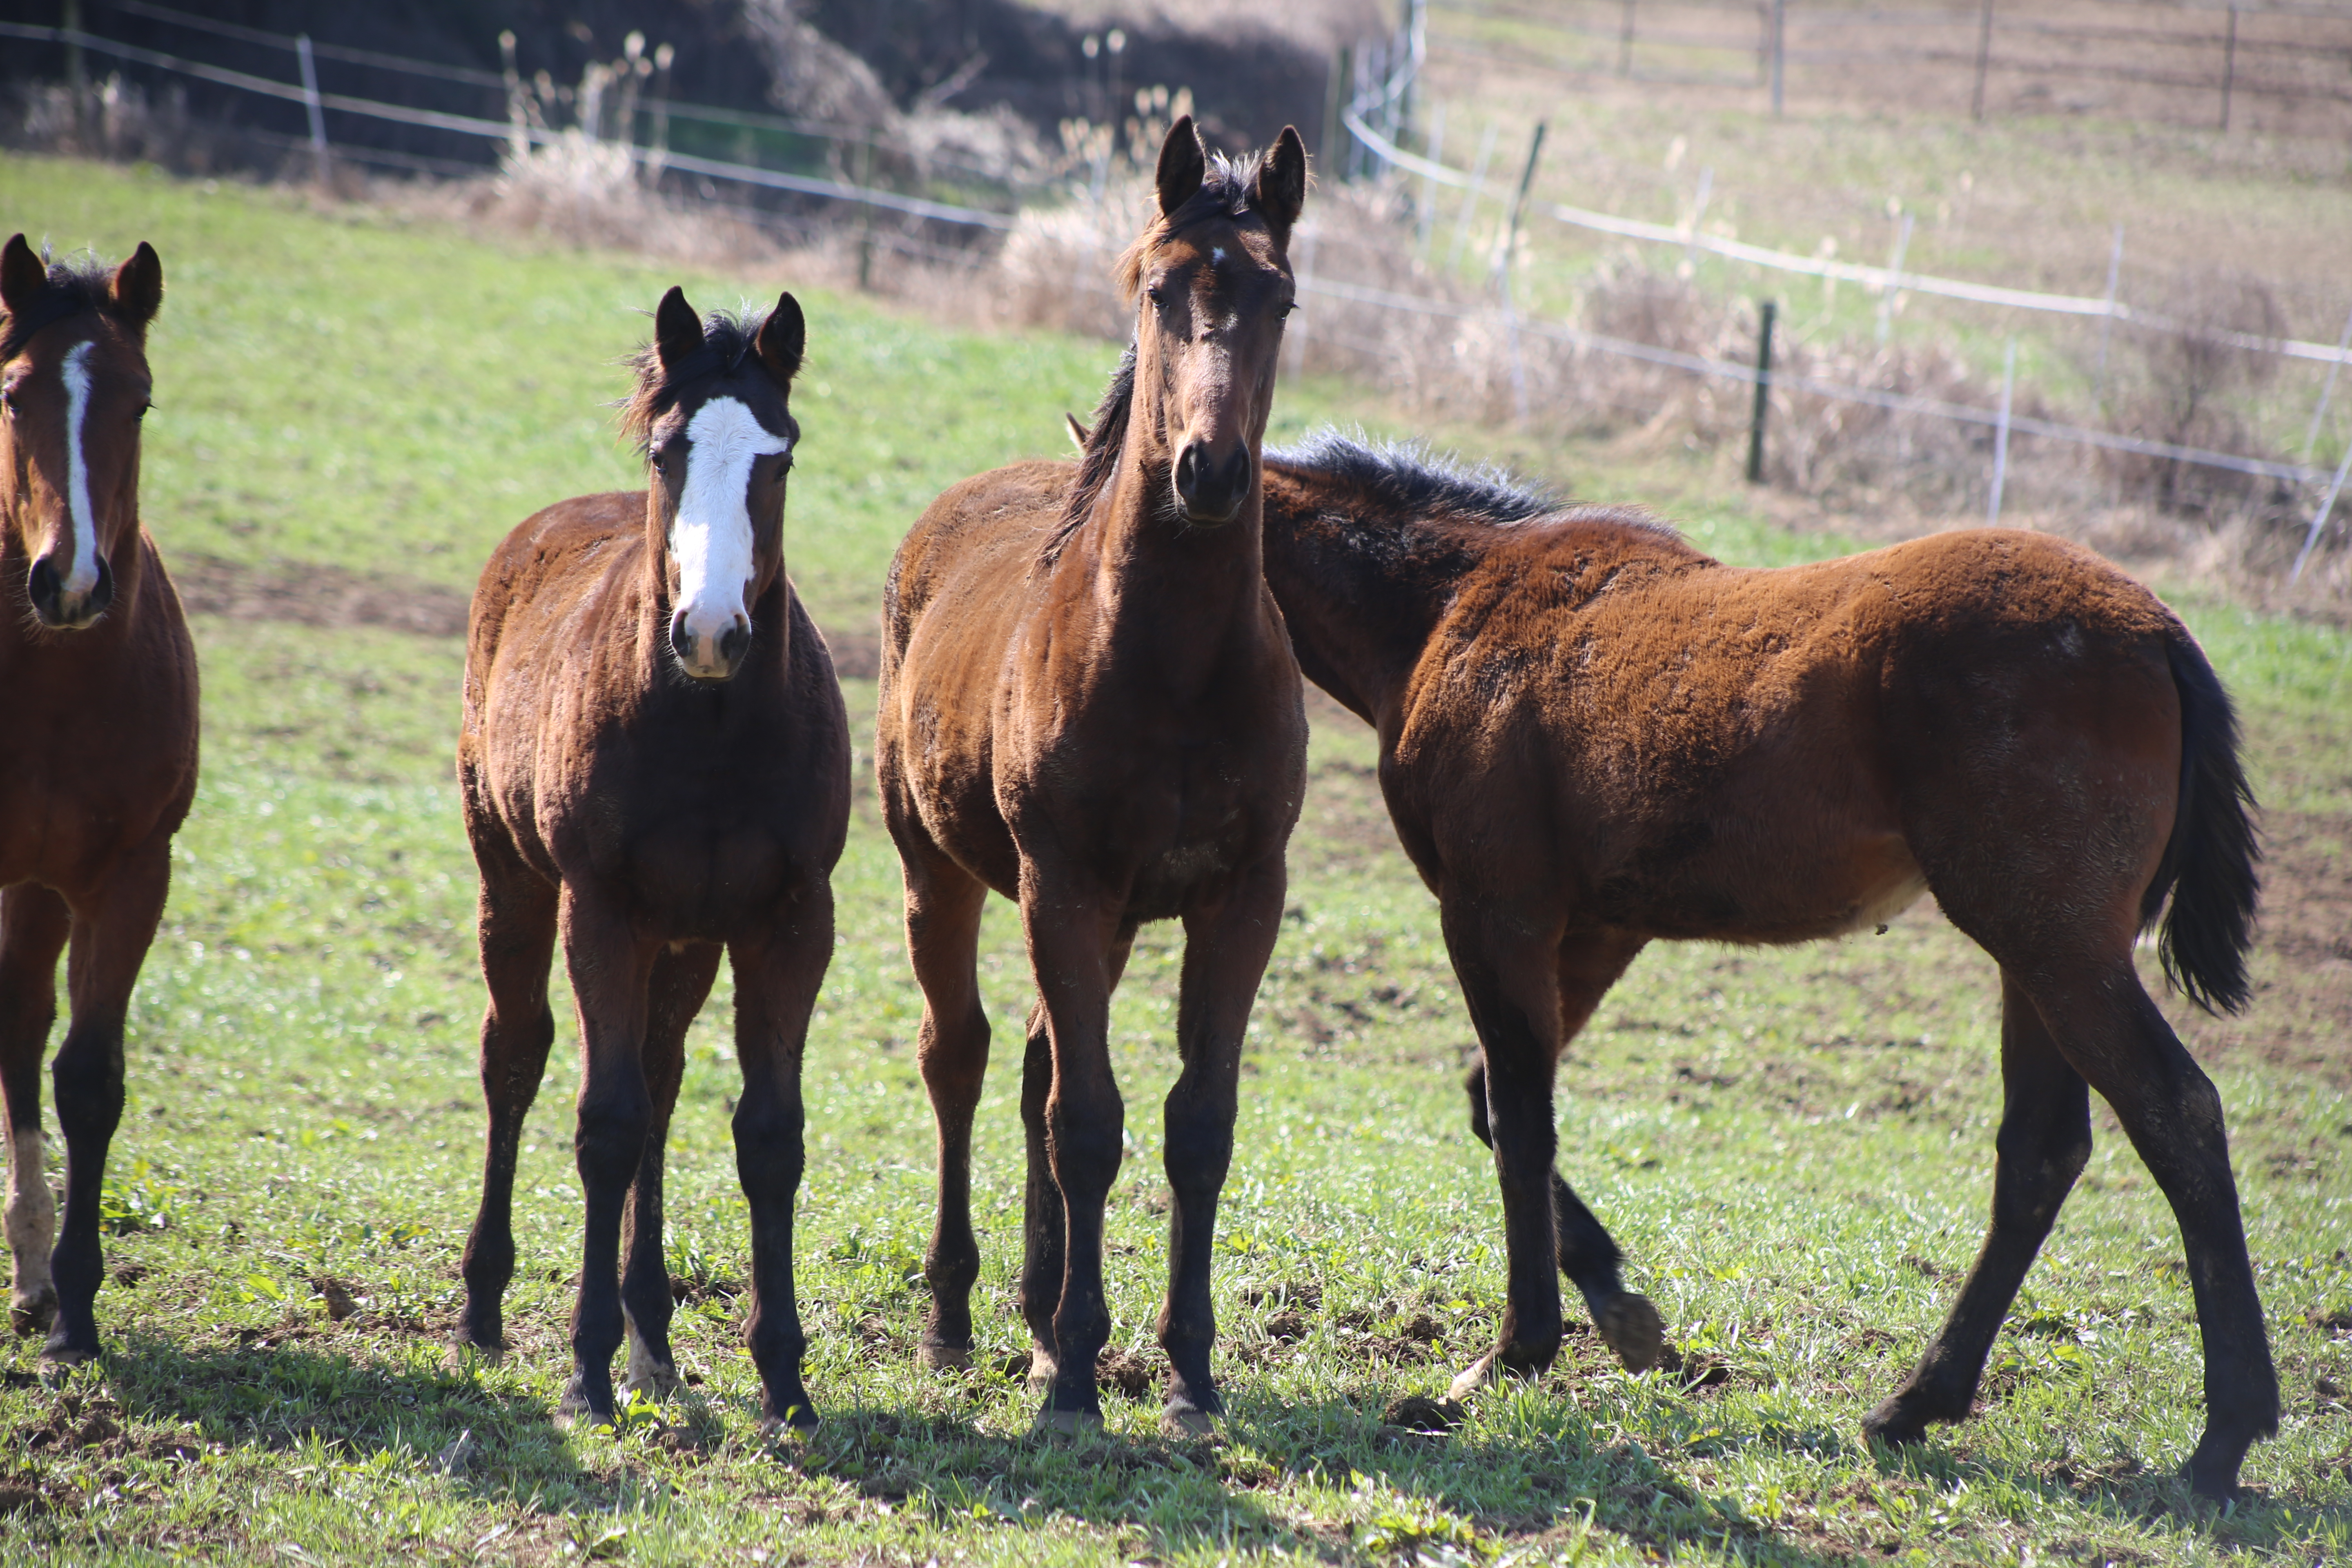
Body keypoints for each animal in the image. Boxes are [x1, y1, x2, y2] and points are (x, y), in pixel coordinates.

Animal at [454, 285, 851, 1439]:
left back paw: (656, 1341)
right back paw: (485, 1309)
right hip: (513, 879)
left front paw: (784, 1378)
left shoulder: (790, 920)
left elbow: (767, 1134)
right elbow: (606, 1122)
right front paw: (585, 1369)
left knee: (665, 1075)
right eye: (668, 452)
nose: (710, 630)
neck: (708, 731)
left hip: (688, 938)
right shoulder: (604, 910)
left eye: (779, 457)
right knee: (517, 1055)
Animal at [884, 116, 1317, 1439]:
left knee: (1029, 1061)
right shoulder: (1064, 882)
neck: (1171, 664)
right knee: (963, 1054)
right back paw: (960, 1318)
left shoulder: (1239, 897)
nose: (1208, 471)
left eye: (1281, 296)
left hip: (1113, 914)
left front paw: (1186, 1375)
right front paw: (1079, 1379)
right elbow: (1087, 1122)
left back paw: (1032, 1322)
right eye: (1158, 287)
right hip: (941, 869)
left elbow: (1195, 1125)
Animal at [1261, 435, 2267, 1504]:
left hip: (2055, 947)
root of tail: (2158, 629)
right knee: (2042, 1153)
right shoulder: (1598, 929)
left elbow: (1519, 1119)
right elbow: (1492, 1104)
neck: (1449, 606)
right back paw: (1918, 1404)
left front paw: (1506, 1358)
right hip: (2035, 956)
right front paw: (1619, 1307)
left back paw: (2223, 1439)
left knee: (2176, 1115)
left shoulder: (1497, 913)